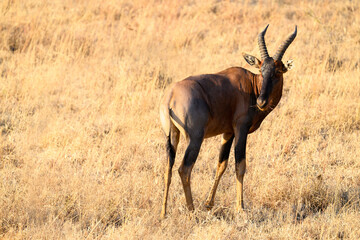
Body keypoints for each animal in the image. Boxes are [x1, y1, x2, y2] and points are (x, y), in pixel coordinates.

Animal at [159, 24, 296, 218]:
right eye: (261, 70)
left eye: (277, 71)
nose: (261, 102)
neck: (250, 84)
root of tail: (171, 97)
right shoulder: (240, 129)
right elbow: (240, 165)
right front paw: (240, 208)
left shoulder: (228, 132)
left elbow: (221, 164)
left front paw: (209, 204)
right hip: (195, 139)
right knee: (184, 169)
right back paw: (192, 211)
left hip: (171, 136)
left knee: (168, 169)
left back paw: (163, 213)